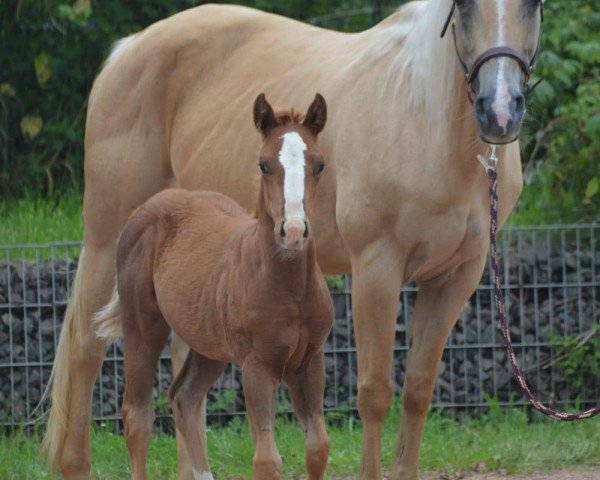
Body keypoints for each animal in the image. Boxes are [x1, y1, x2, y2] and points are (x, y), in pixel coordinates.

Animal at [96, 94, 336, 480]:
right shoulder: (257, 367)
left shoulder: (310, 362)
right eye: (263, 165)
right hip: (142, 329)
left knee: (185, 398)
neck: (290, 290)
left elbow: (317, 447)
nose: (294, 231)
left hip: (208, 345)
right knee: (138, 416)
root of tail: (146, 209)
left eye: (320, 164)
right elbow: (266, 460)